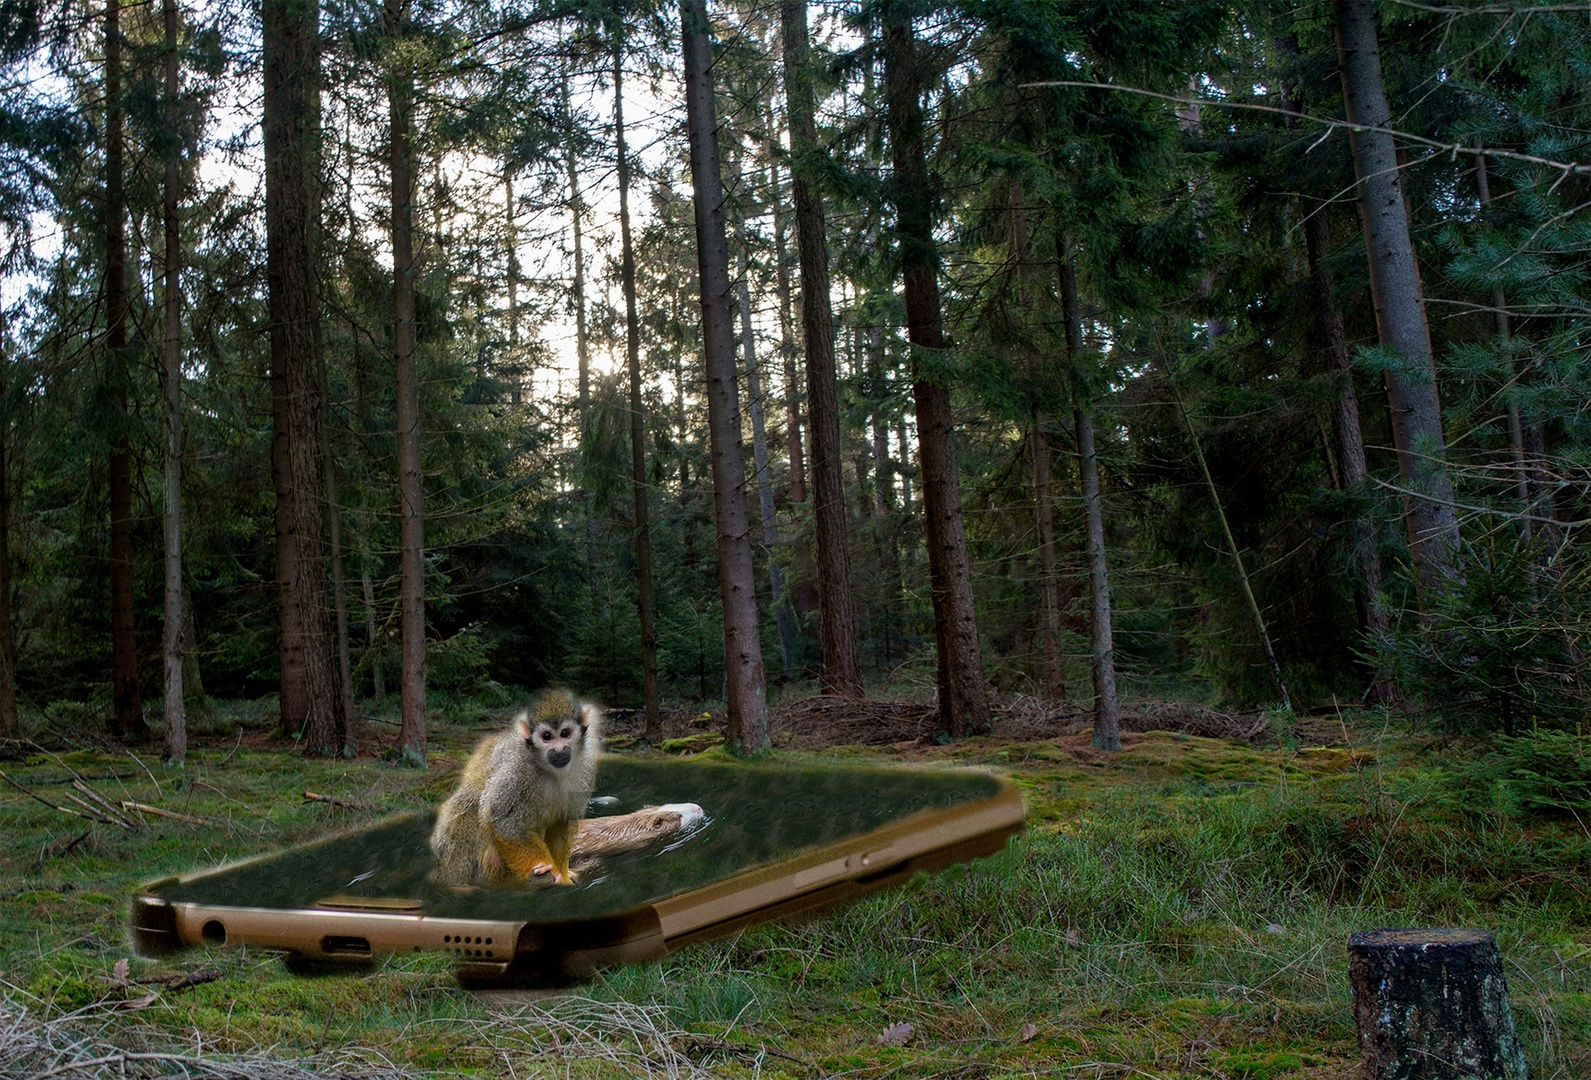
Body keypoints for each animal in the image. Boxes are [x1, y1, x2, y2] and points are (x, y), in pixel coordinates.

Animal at [429, 693, 601, 884]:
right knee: (474, 810)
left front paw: (562, 875)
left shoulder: (585, 765)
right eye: (547, 736)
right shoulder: (516, 768)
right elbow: (502, 819)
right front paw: (546, 868)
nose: (559, 750)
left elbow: (564, 821)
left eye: (565, 734)